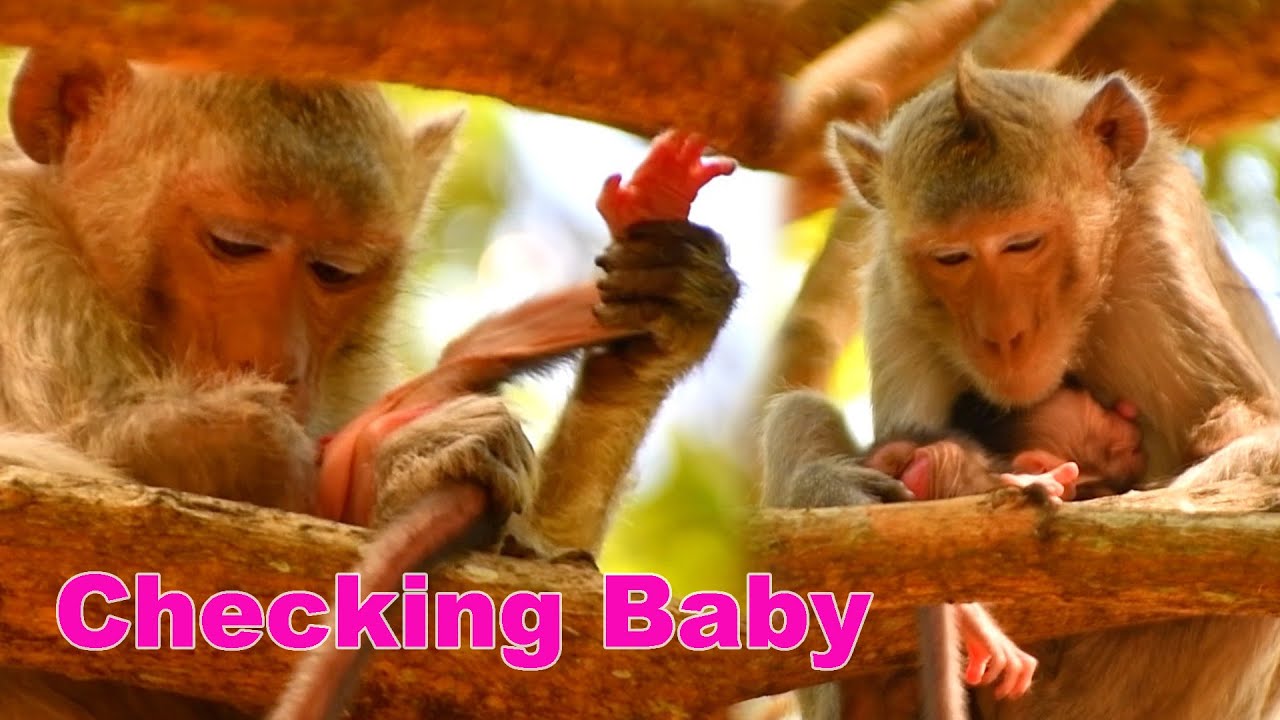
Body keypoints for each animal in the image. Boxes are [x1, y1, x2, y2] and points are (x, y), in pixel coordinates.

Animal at [0, 45, 740, 720]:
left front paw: (660, 315)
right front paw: (389, 463)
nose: (277, 362)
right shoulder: (22, 258)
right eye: (234, 245)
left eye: (335, 273)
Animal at [765, 53, 1280, 720]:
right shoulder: (895, 294)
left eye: (1023, 244)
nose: (1003, 335)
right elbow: (910, 451)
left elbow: (1246, 429)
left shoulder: (1156, 244)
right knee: (797, 412)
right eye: (951, 258)